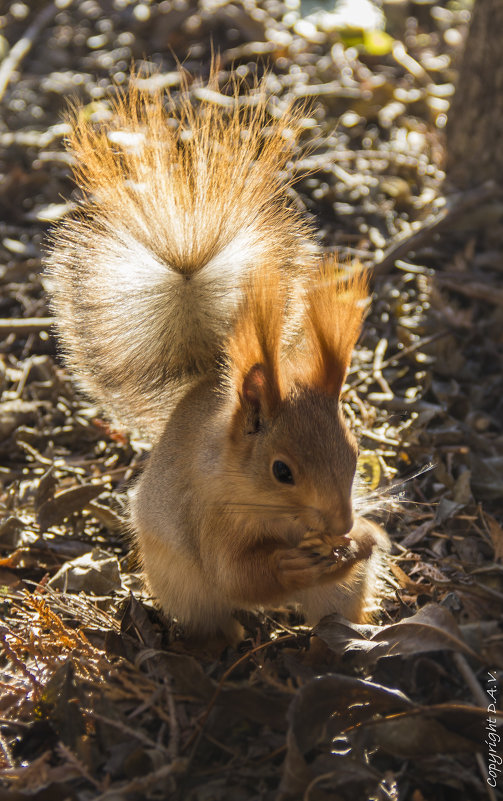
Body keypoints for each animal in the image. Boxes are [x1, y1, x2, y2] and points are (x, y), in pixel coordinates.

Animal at [46, 70, 390, 644]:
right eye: (281, 471)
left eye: (355, 454)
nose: (340, 525)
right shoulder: (212, 516)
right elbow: (237, 575)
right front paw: (288, 565)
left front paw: (360, 539)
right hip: (185, 587)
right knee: (218, 612)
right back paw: (228, 637)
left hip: (337, 596)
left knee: (333, 603)